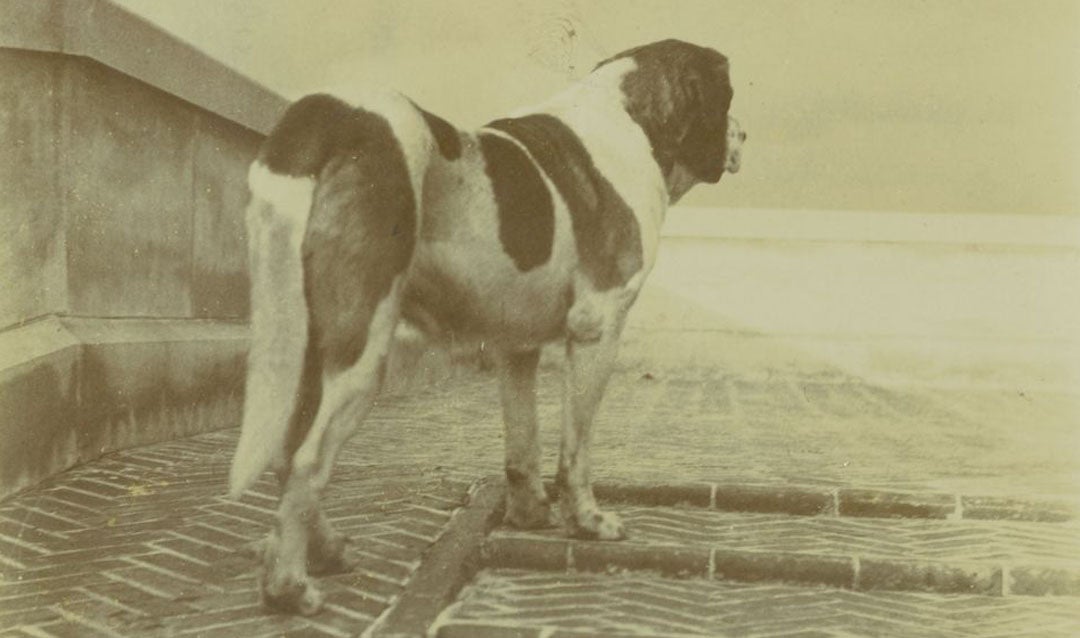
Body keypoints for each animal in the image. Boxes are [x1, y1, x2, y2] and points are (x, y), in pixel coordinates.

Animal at [230, 38, 743, 613]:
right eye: (728, 96)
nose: (744, 134)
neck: (630, 117)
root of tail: (335, 113)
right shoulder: (597, 330)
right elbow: (575, 451)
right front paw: (587, 522)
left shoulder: (515, 347)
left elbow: (523, 443)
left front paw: (529, 514)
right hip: (361, 353)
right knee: (306, 460)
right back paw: (289, 587)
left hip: (302, 342)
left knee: (284, 451)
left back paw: (320, 552)